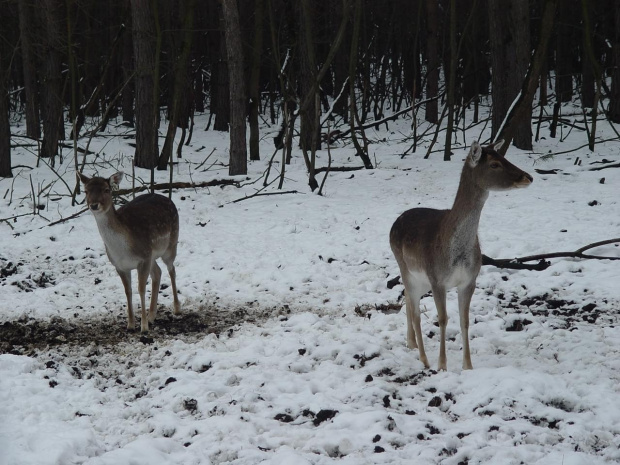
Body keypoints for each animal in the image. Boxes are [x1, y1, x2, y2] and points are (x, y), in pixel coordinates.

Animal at [78, 172, 180, 332]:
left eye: (107, 189)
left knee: (171, 269)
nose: (94, 205)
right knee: (158, 272)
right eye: (86, 191)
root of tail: (168, 199)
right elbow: (128, 291)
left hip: (171, 244)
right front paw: (131, 324)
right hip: (152, 255)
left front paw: (143, 327)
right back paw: (152, 315)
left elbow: (141, 289)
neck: (122, 250)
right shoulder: (120, 265)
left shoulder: (143, 258)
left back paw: (176, 308)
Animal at [390, 140, 532, 372]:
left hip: (419, 279)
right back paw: (424, 358)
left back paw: (411, 343)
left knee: (408, 300)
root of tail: (394, 223)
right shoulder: (437, 279)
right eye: (494, 164)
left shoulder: (469, 280)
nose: (527, 177)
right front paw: (442, 365)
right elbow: (443, 318)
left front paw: (468, 366)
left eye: (505, 157)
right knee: (416, 310)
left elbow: (465, 320)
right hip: (405, 267)